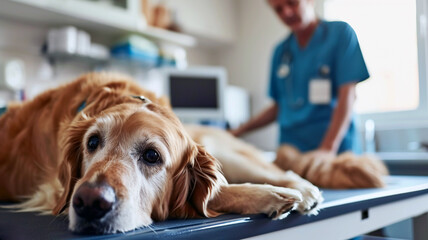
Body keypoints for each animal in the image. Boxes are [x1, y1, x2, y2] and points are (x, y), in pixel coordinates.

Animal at [0, 72, 320, 234]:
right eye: (92, 143)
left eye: (152, 156)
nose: (90, 202)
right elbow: (216, 192)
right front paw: (271, 196)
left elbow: (216, 190)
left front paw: (277, 193)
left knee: (279, 170)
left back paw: (303, 188)